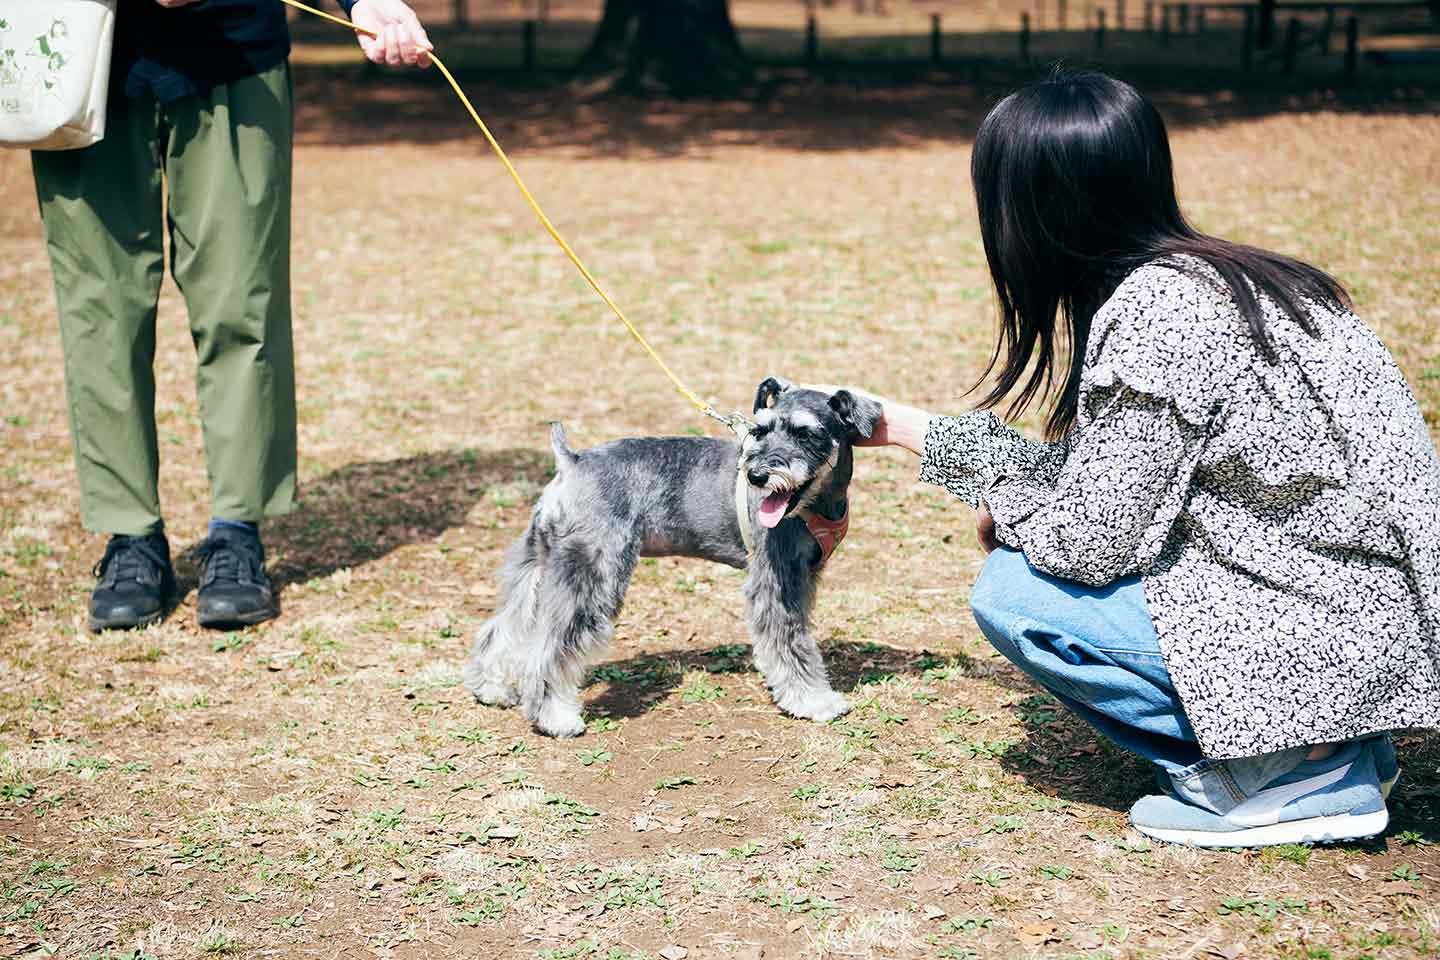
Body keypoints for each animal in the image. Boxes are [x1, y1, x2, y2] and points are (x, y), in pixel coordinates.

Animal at [466, 379, 881, 742]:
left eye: (805, 433)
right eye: (761, 431)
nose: (756, 475)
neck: (817, 502)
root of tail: (572, 463)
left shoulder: (803, 578)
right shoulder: (776, 583)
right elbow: (791, 644)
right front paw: (815, 701)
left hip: (539, 565)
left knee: (503, 626)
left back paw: (490, 688)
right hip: (595, 572)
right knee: (552, 646)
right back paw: (555, 717)